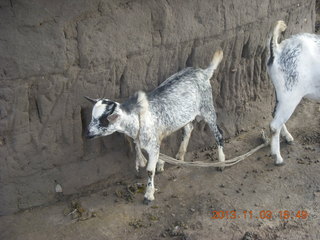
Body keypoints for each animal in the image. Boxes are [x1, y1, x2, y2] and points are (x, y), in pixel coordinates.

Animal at [85, 49, 225, 203]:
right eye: (92, 117)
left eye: (103, 121)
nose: (88, 133)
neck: (136, 118)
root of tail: (204, 72)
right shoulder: (151, 140)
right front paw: (160, 164)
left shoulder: (152, 144)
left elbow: (149, 170)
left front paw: (149, 194)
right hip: (185, 115)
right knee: (188, 129)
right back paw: (180, 155)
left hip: (207, 108)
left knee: (218, 134)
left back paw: (221, 162)